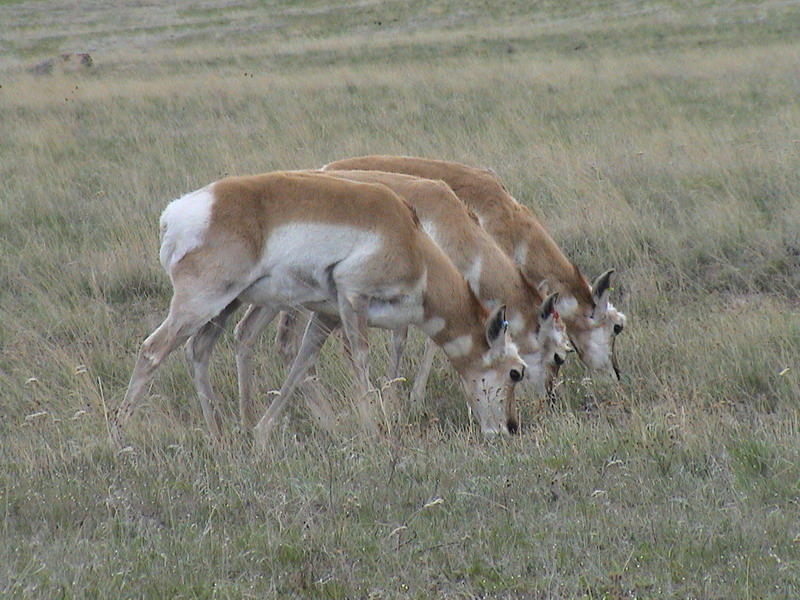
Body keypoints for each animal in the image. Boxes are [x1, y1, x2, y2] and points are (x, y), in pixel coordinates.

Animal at [114, 171, 528, 451]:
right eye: (516, 372)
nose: (510, 428)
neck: (411, 239)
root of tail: (179, 212)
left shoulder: (326, 315)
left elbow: (301, 361)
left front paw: (261, 432)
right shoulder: (353, 298)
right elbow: (359, 359)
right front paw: (372, 430)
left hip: (225, 306)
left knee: (199, 350)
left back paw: (220, 437)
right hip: (201, 302)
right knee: (152, 350)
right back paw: (121, 436)